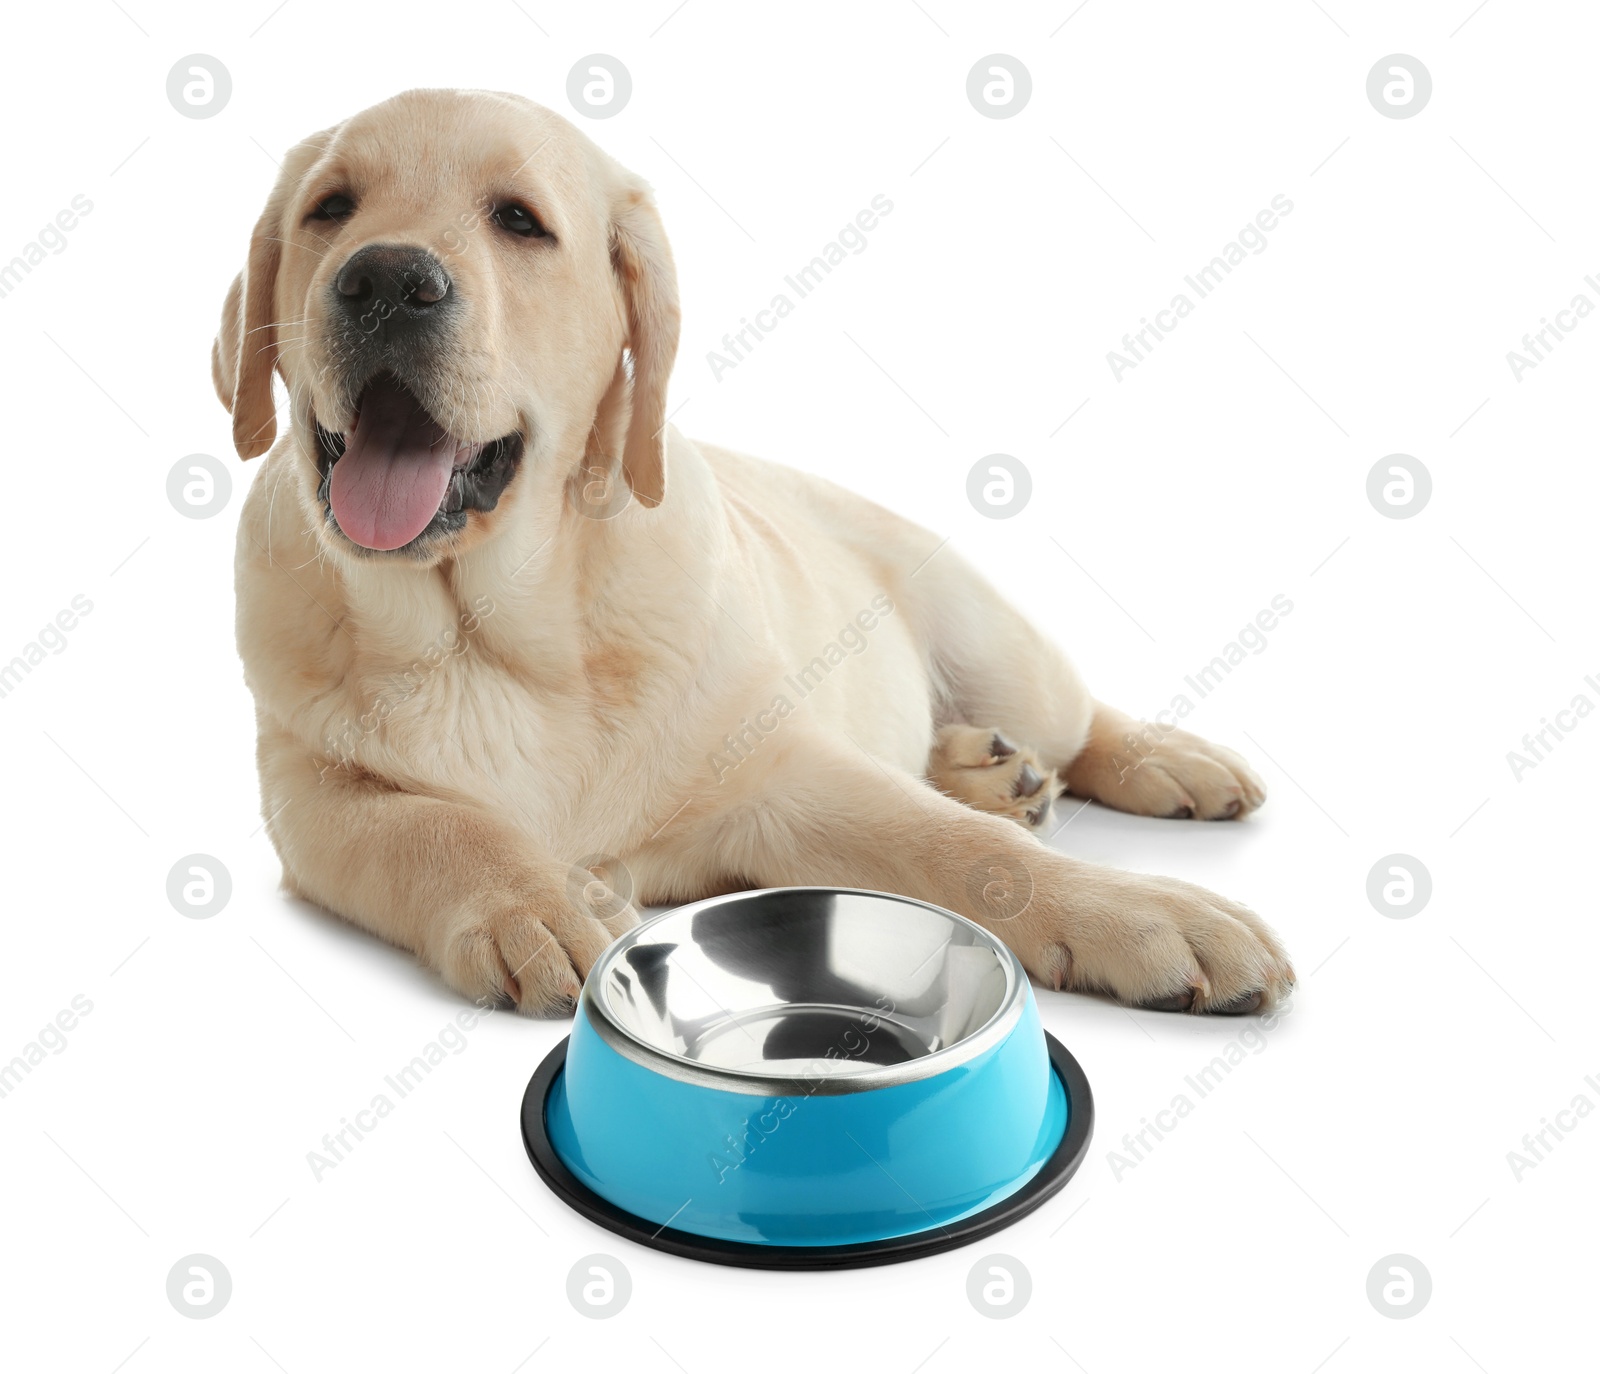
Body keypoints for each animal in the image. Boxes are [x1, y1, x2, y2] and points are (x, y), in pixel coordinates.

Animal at [216, 88, 1286, 1023]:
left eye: (519, 222)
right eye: (331, 208)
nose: (386, 281)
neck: (489, 629)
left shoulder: (781, 775)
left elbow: (959, 846)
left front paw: (1147, 912)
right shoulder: (309, 792)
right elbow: (436, 826)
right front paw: (538, 903)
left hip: (1000, 650)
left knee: (1078, 719)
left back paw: (1164, 761)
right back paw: (986, 768)